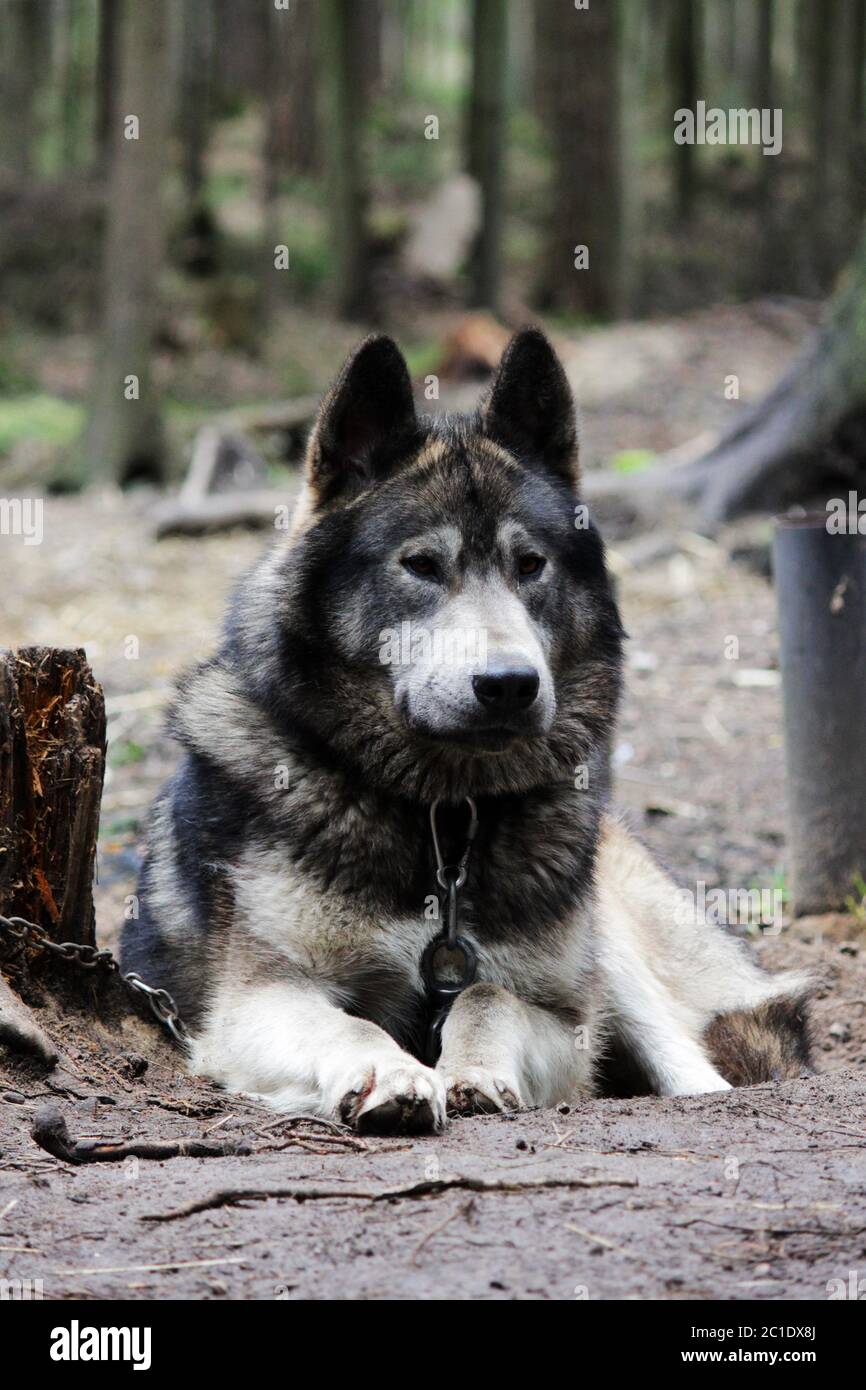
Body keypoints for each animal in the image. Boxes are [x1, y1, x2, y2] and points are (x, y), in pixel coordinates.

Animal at [122, 330, 811, 1134]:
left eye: (531, 564)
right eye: (421, 565)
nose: (510, 684)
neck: (444, 824)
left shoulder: (568, 1021)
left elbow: (488, 995)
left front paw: (472, 1069)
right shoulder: (256, 1000)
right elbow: (349, 1025)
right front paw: (391, 1072)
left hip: (617, 948)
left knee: (697, 1069)